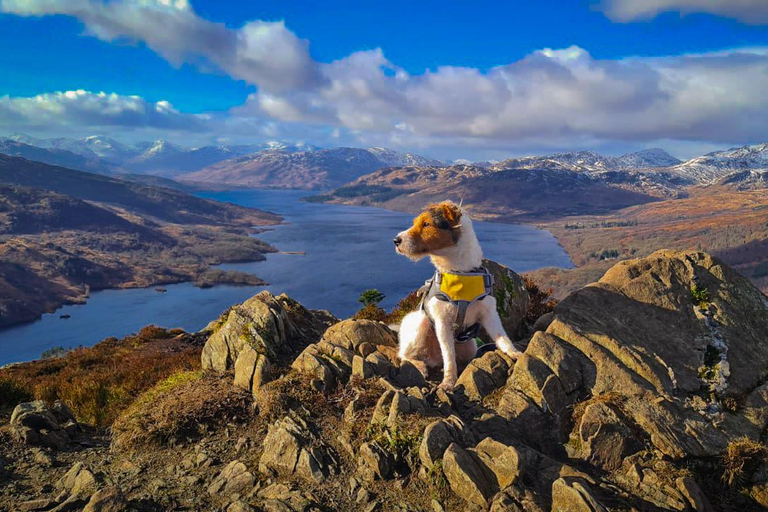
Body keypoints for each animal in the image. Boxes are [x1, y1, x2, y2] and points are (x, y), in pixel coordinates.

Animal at [392, 200, 524, 388]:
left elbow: (502, 337)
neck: (460, 271)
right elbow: (449, 357)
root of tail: (433, 359)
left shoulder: (489, 314)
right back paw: (420, 366)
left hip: (470, 346)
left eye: (426, 224)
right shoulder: (442, 322)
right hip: (420, 322)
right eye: (416, 222)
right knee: (404, 355)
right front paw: (448, 381)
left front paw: (514, 353)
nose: (396, 240)